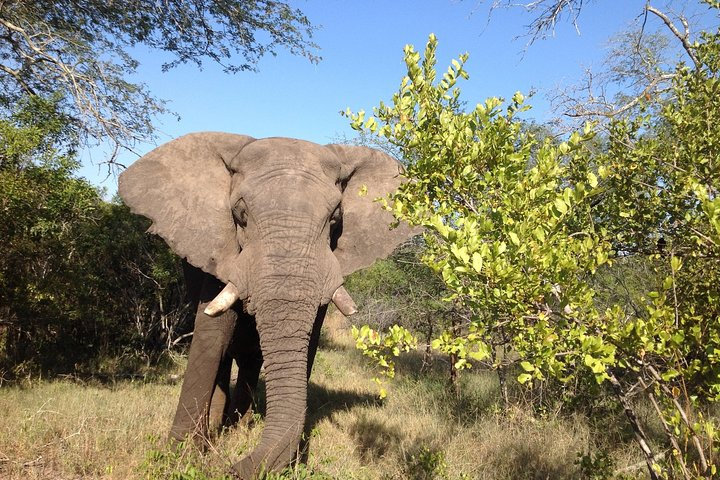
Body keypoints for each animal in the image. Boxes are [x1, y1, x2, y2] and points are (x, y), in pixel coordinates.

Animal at [117, 132, 414, 478]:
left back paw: (239, 425)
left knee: (250, 357)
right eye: (240, 214)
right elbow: (212, 337)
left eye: (336, 218)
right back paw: (220, 428)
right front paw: (179, 458)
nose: (229, 468)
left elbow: (307, 344)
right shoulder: (221, 251)